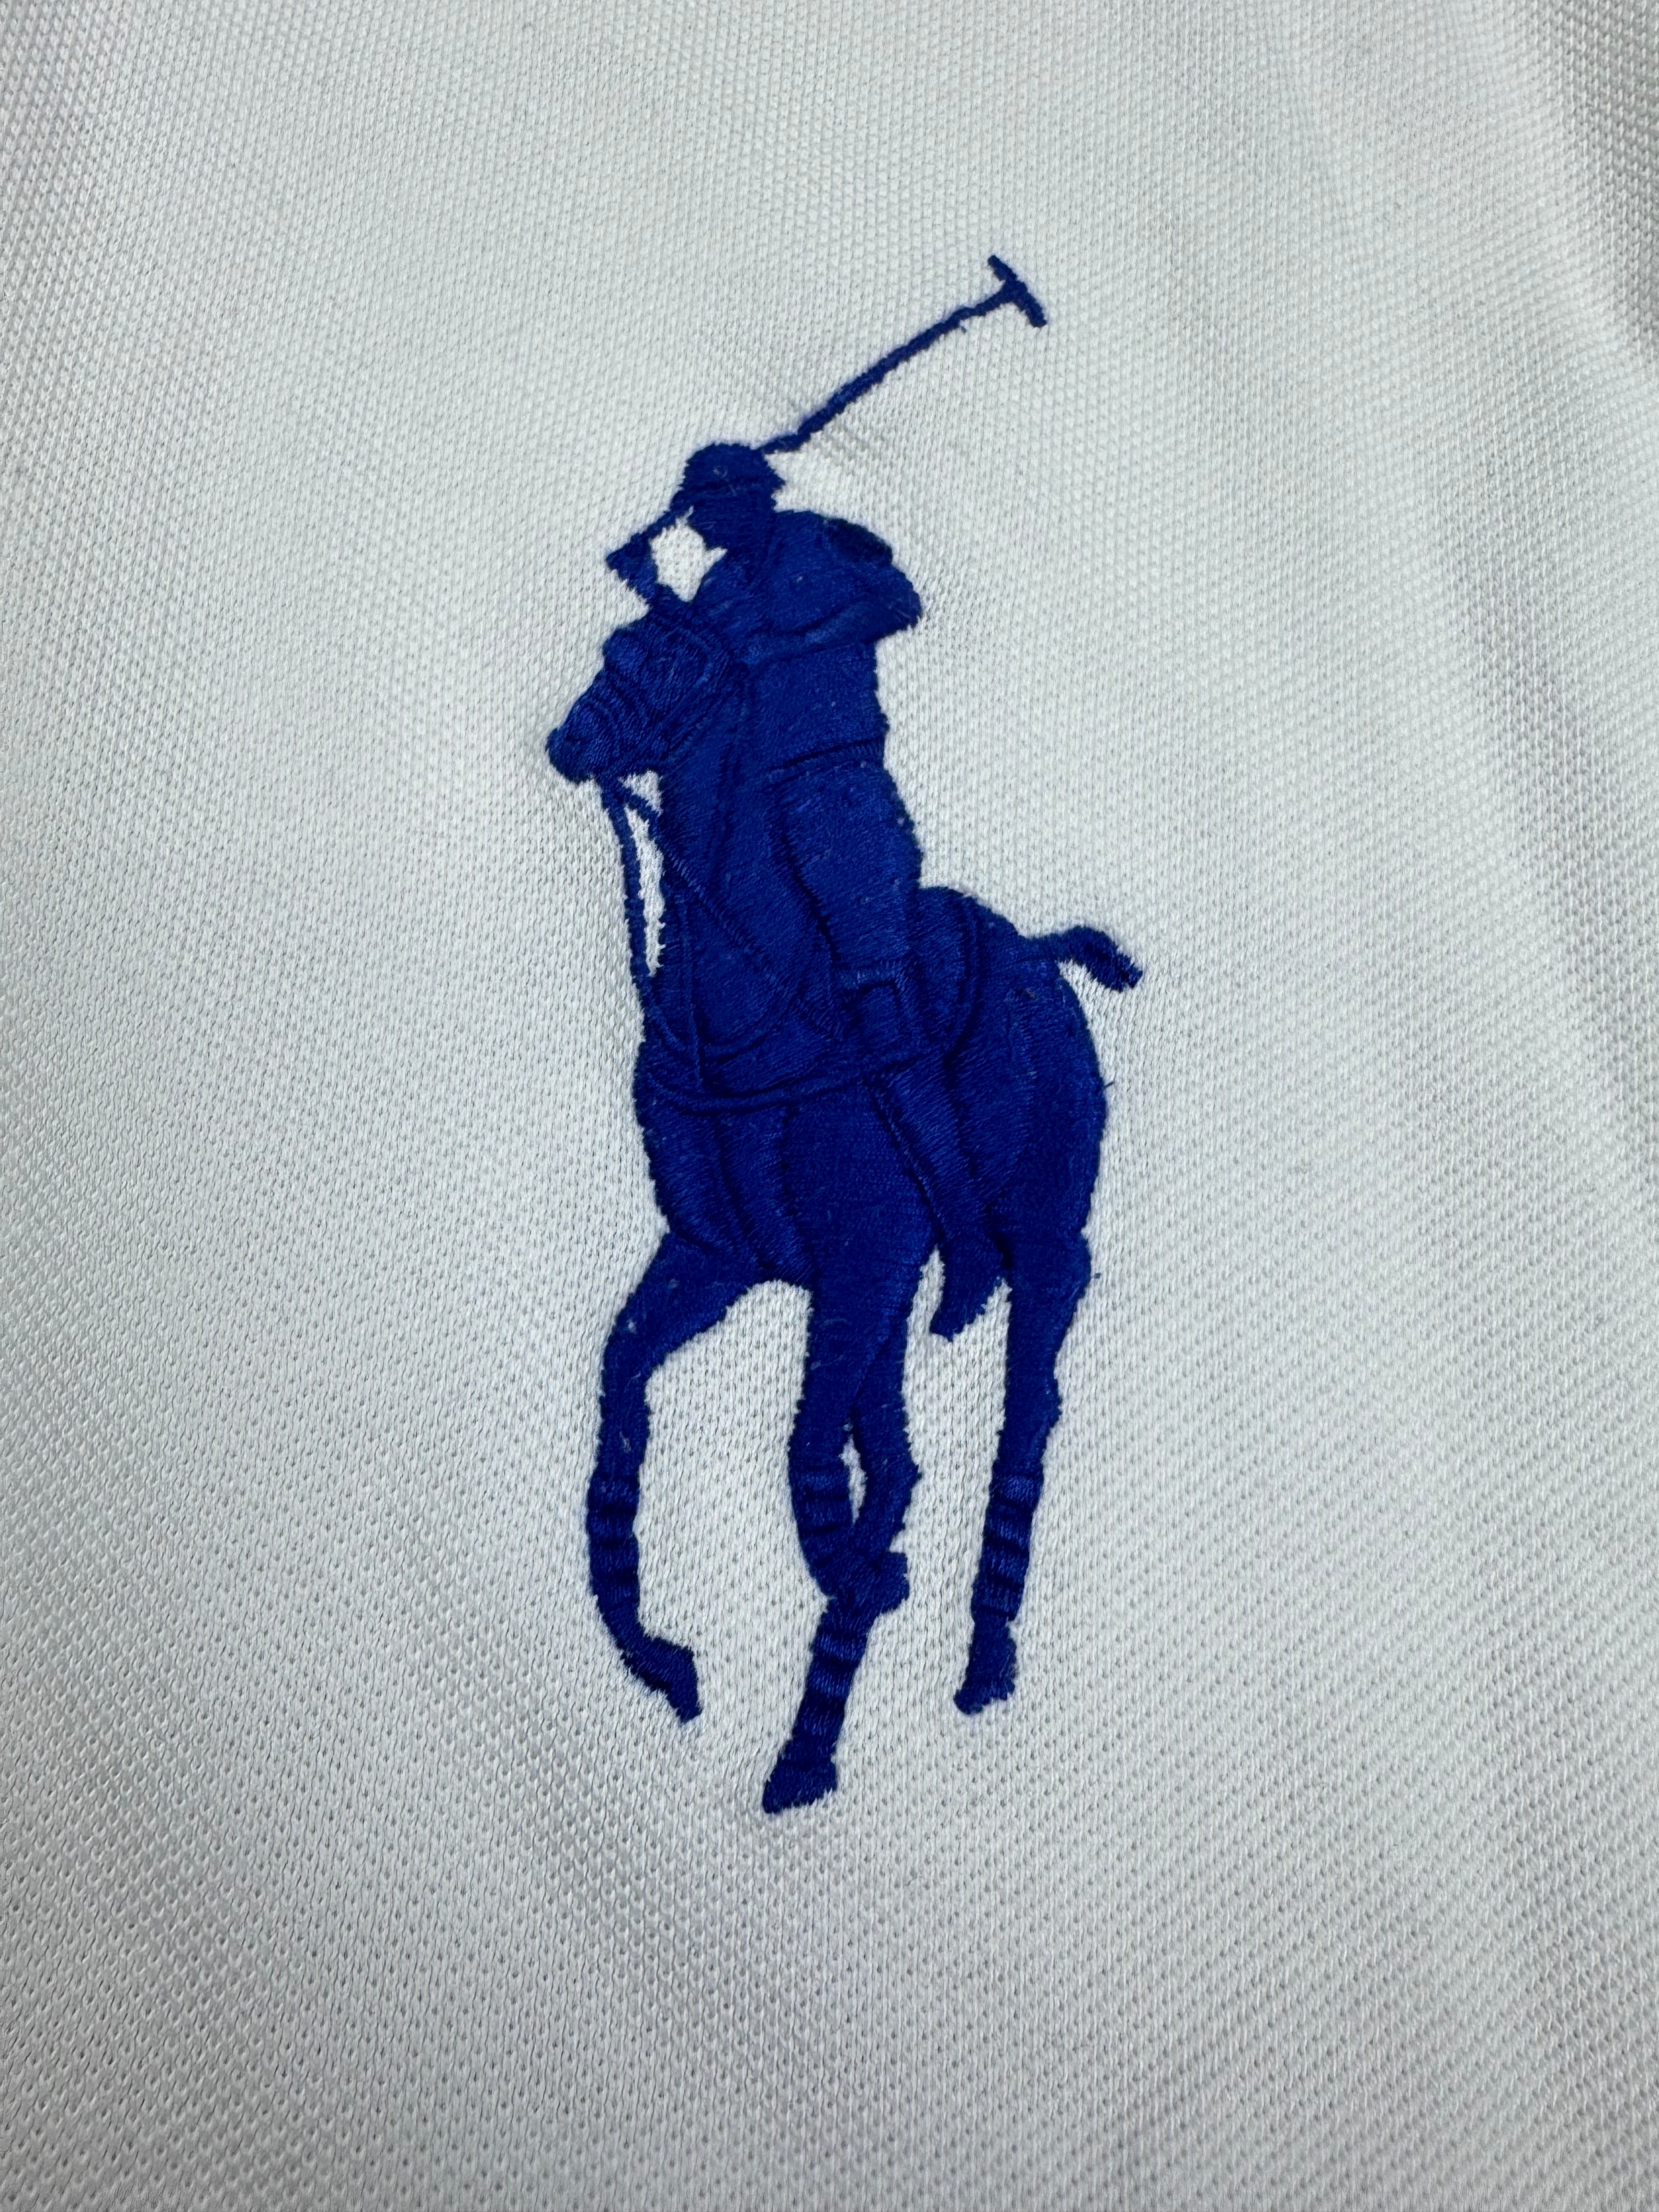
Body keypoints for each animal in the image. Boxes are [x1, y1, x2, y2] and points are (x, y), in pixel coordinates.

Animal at [551, 581, 1139, 1814]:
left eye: (666, 662)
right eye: (611, 646)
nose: (567, 745)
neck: (751, 1006)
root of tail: (1042, 955)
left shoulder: (862, 1263)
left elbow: (807, 1460)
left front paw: (846, 1625)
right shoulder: (717, 1253)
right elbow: (623, 1389)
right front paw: (662, 1659)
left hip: (1046, 1247)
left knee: (1023, 1418)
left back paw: (977, 1661)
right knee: (901, 1450)